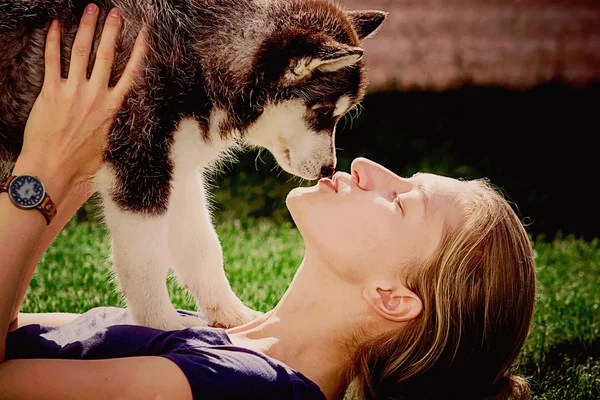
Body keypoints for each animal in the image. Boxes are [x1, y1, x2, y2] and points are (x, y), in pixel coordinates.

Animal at [0, 0, 390, 330]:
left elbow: (203, 247)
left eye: (336, 116)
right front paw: (161, 326)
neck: (193, 51)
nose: (329, 170)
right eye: (323, 113)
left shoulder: (179, 172)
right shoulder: (140, 169)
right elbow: (144, 259)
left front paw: (232, 315)